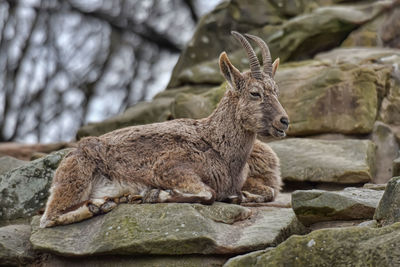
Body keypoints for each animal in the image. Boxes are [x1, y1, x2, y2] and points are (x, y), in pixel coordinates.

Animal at [39, 31, 288, 228]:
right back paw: (102, 204)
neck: (217, 146)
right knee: (49, 217)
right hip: (78, 178)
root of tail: (70, 155)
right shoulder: (170, 168)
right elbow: (207, 193)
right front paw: (154, 194)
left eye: (276, 91)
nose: (283, 121)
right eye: (255, 93)